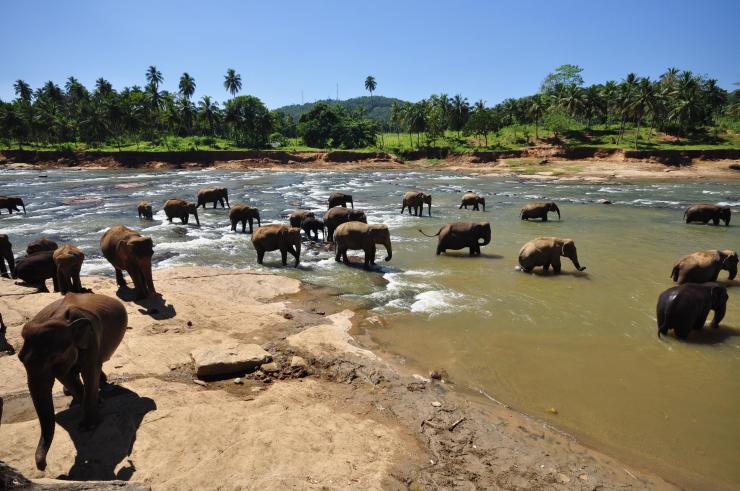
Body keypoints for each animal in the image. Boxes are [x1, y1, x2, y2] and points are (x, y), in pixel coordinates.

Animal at [18, 292, 128, 470]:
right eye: (20, 359)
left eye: (52, 357)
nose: (43, 466)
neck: (61, 319)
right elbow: (66, 375)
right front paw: (95, 403)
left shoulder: (91, 337)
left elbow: (89, 371)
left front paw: (87, 426)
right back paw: (70, 393)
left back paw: (102, 384)